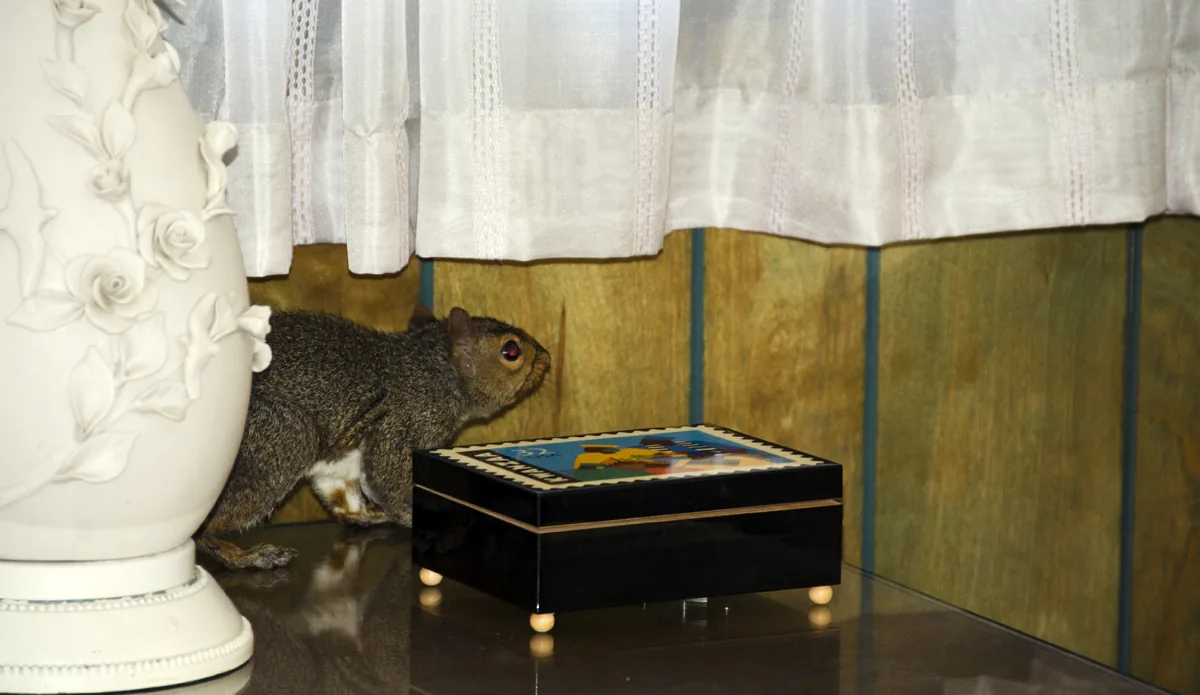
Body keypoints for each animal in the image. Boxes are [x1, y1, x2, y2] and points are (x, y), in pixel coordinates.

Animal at [196, 301, 551, 570]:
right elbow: (392, 479)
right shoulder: (406, 424)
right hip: (283, 437)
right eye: (511, 351)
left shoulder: (340, 462)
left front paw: (372, 515)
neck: (433, 374)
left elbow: (345, 494)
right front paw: (436, 528)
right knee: (205, 529)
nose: (547, 358)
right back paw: (246, 556)